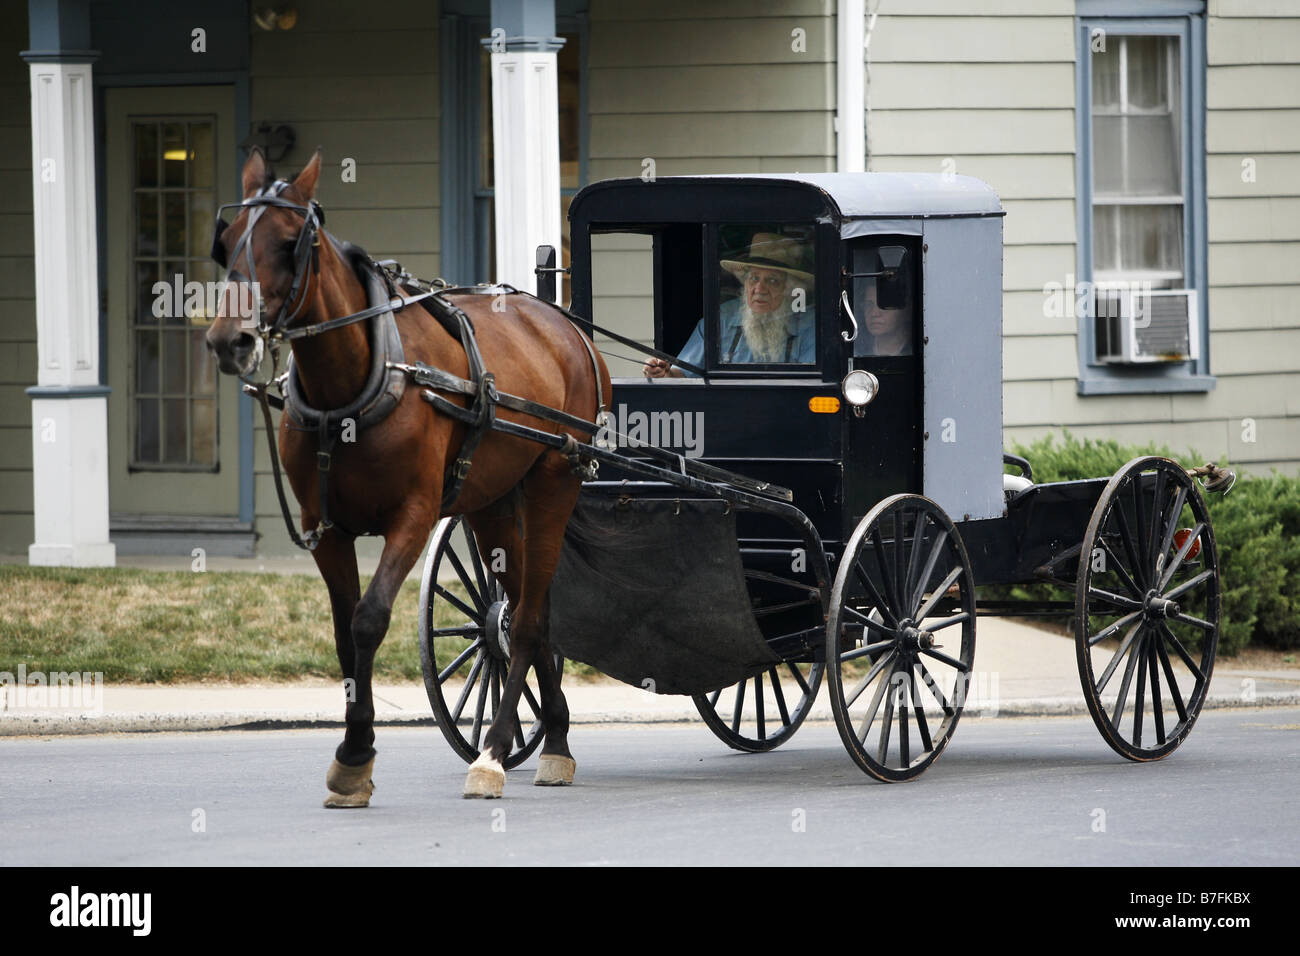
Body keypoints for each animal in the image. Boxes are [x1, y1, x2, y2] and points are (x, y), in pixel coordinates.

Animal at [202, 147, 608, 806]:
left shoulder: (413, 517)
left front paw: (355, 755)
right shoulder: (326, 528)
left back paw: (494, 752)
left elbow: (369, 619)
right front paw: (353, 756)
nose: (228, 340)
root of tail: (564, 323)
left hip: (556, 479)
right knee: (525, 610)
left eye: (290, 243)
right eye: (226, 241)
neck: (354, 383)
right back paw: (555, 740)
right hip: (492, 500)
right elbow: (345, 636)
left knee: (523, 620)